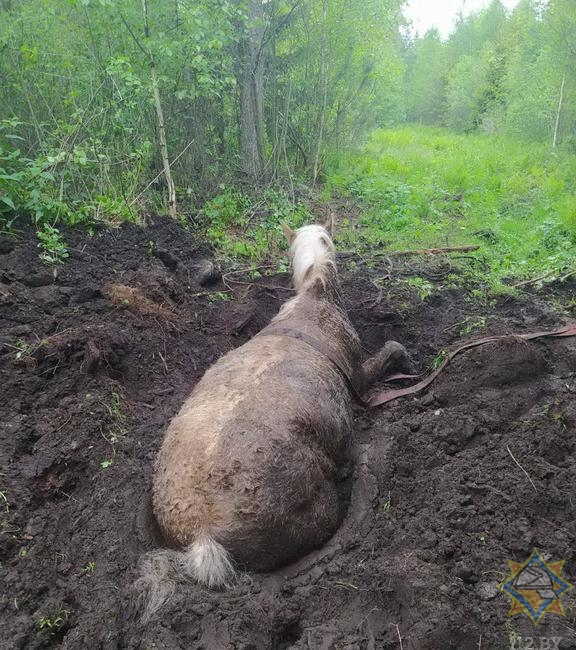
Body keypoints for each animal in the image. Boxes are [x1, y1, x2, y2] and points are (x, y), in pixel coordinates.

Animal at [139, 219, 410, 616]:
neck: (315, 295)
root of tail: (204, 534)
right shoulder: (359, 375)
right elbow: (385, 355)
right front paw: (401, 354)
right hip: (316, 512)